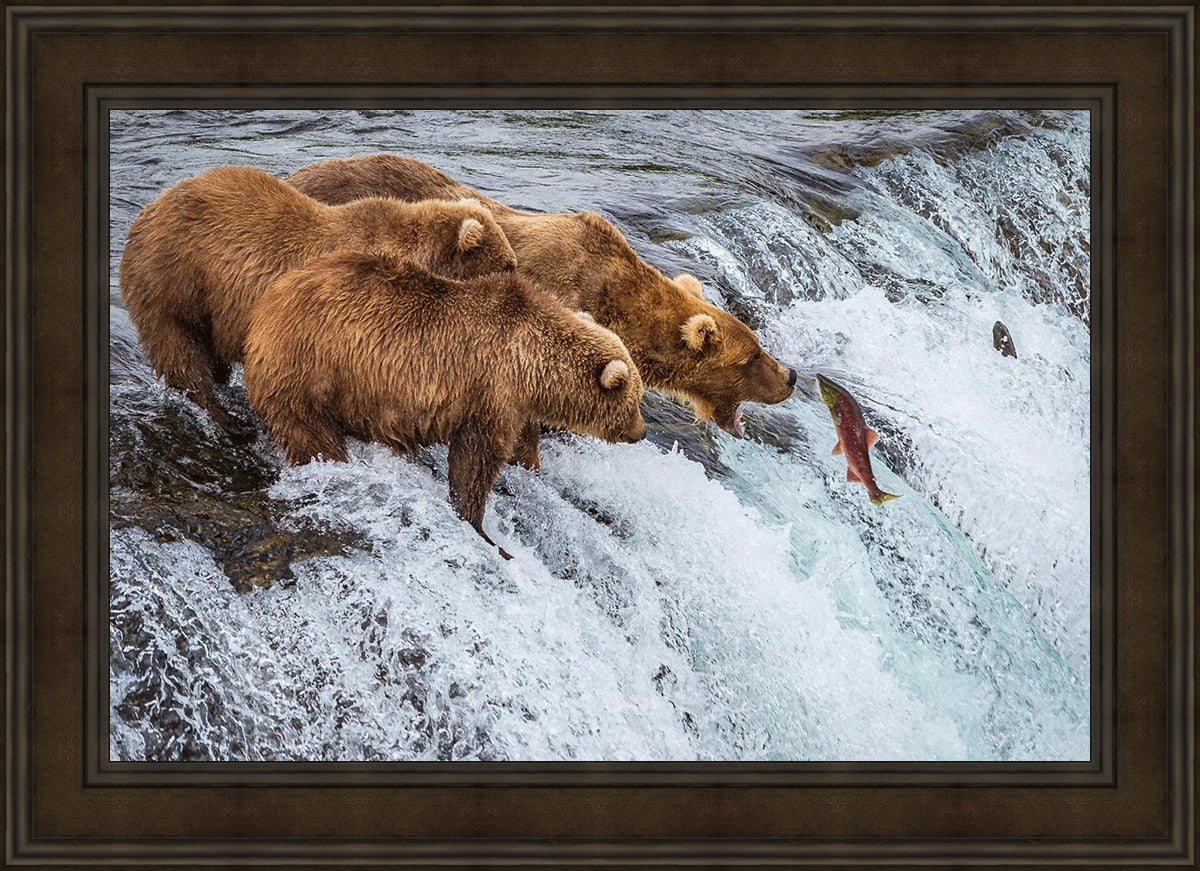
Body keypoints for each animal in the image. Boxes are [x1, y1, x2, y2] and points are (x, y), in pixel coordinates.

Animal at [119, 164, 517, 443]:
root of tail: (147, 211)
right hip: (174, 280)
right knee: (179, 351)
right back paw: (231, 421)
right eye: (507, 265)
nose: (519, 280)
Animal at [243, 249, 646, 559]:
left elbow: (520, 447)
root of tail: (265, 306)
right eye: (635, 401)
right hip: (310, 368)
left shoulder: (516, 404)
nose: (641, 432)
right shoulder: (490, 390)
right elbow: (475, 460)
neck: (532, 365)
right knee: (311, 432)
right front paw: (483, 529)